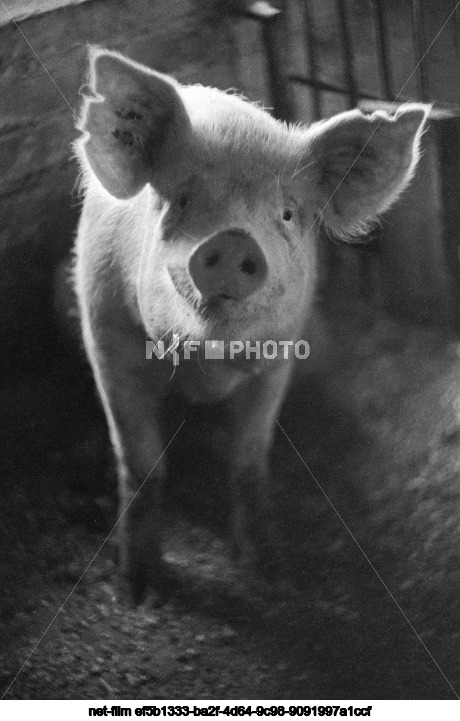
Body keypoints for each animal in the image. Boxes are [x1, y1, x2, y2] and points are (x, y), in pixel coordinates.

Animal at [73, 47, 430, 600]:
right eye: (181, 200)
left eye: (286, 214)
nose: (234, 238)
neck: (204, 370)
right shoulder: (106, 340)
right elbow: (141, 462)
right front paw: (138, 590)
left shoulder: (279, 358)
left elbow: (247, 462)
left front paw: (270, 575)